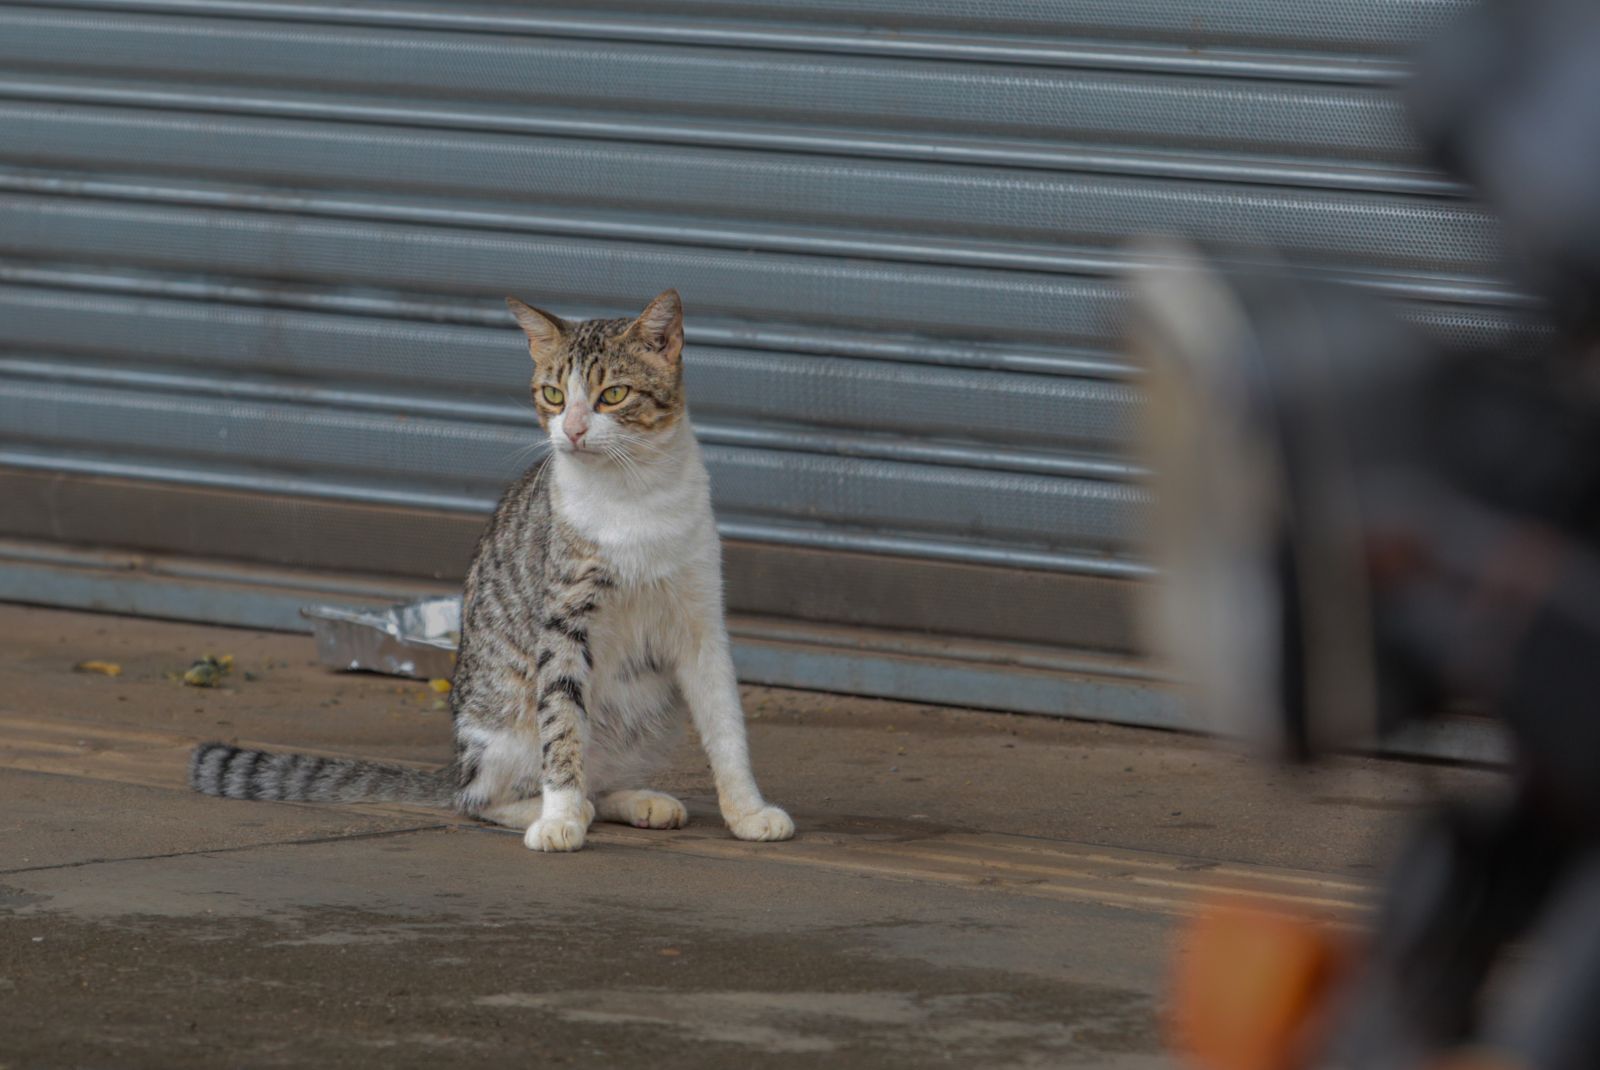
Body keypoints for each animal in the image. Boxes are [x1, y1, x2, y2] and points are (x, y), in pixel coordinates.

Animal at [190, 289, 790, 850]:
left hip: (649, 711)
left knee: (594, 779)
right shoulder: (563, 623)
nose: (572, 431)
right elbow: (562, 728)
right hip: (503, 723)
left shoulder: (700, 618)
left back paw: (634, 800)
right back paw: (555, 809)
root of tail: (456, 764)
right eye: (553, 395)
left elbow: (726, 724)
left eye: (613, 394)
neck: (635, 493)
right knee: (480, 798)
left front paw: (747, 810)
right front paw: (560, 819)